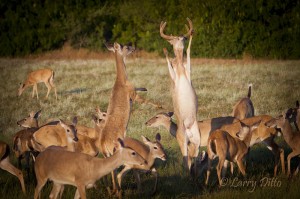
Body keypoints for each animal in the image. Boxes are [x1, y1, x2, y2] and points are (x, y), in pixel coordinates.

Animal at [96, 42, 146, 193]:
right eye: (125, 47)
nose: (133, 47)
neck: (122, 80)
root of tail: (103, 144)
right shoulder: (132, 93)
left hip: (106, 154)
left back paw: (112, 189)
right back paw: (117, 189)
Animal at [161, 17, 200, 173]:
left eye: (182, 37)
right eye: (173, 39)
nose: (182, 37)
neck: (180, 69)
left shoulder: (188, 70)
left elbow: (189, 52)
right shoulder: (174, 78)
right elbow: (168, 63)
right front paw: (165, 50)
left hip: (196, 138)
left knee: (193, 155)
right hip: (183, 139)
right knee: (185, 158)